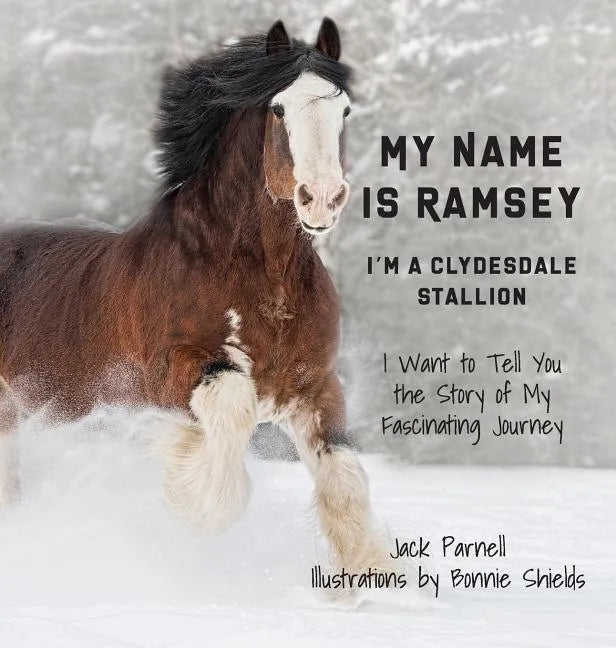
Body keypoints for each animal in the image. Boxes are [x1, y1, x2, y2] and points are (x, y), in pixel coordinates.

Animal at [0, 18, 391, 575]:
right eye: (278, 109)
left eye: (345, 110)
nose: (322, 198)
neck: (263, 281)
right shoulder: (172, 371)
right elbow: (229, 410)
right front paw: (191, 487)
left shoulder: (314, 386)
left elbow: (344, 481)